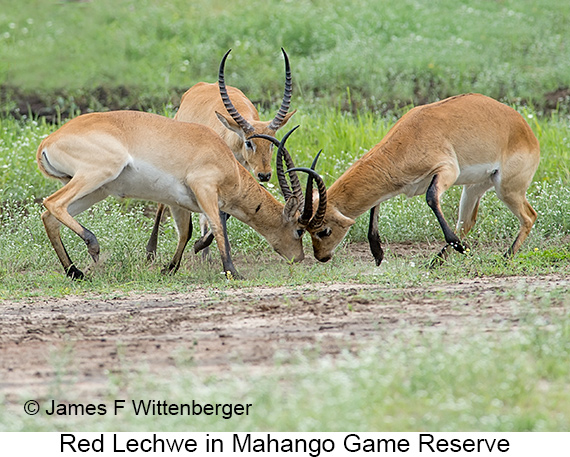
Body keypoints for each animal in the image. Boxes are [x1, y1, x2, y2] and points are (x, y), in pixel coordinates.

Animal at [35, 112, 310, 280]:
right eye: (299, 229)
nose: (299, 258)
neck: (225, 160)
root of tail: (47, 142)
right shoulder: (205, 189)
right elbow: (218, 226)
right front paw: (233, 272)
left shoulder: (179, 202)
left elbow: (186, 233)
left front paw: (169, 269)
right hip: (97, 175)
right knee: (53, 203)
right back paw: (92, 246)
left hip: (97, 189)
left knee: (49, 216)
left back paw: (75, 272)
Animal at [144, 50, 296, 260]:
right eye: (249, 142)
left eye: (272, 143)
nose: (264, 174)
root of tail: (194, 89)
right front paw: (202, 246)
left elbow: (224, 211)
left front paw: (201, 245)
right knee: (162, 202)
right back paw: (151, 251)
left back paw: (205, 254)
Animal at [284, 92, 536, 264]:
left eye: (323, 230)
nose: (321, 256)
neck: (412, 135)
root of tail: (526, 129)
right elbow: (375, 204)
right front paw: (378, 253)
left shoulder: (447, 170)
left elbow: (431, 197)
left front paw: (461, 248)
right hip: (474, 188)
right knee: (467, 222)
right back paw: (435, 263)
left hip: (506, 189)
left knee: (529, 216)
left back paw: (504, 258)